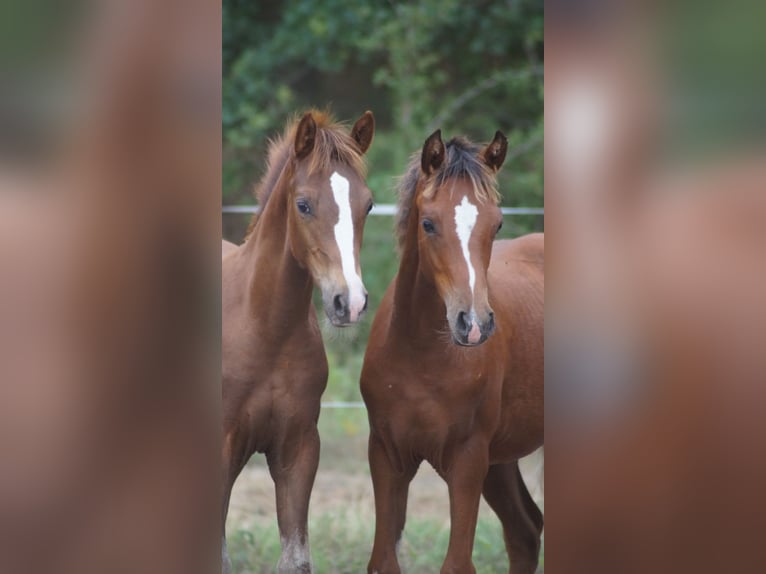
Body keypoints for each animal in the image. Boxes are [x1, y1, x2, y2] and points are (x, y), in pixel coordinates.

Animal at [221, 109, 375, 573]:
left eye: (368, 204)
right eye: (303, 204)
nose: (350, 302)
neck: (264, 329)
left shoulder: (298, 449)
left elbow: (296, 559)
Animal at [360, 129, 544, 574]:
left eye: (497, 224)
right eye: (428, 224)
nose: (473, 323)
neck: (422, 358)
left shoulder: (467, 461)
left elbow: (458, 563)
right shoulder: (386, 456)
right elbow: (383, 560)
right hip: (501, 461)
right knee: (525, 531)